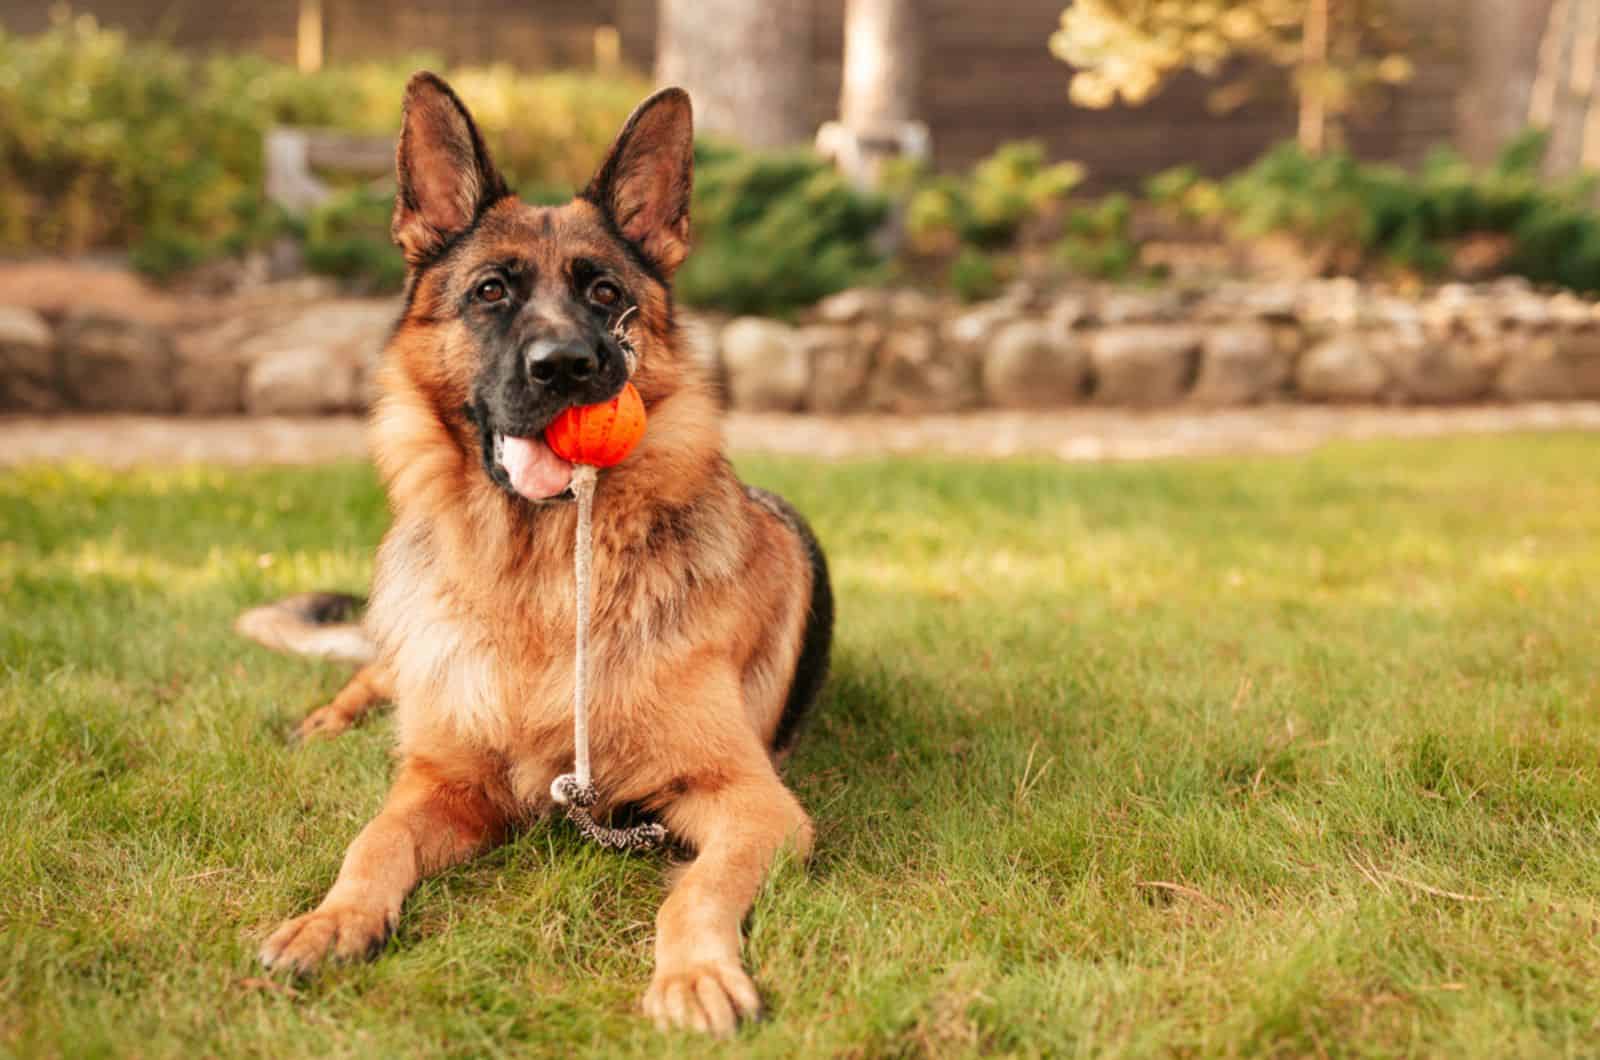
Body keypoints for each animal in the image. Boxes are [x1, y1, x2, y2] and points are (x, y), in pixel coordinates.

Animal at [249, 74, 832, 1037]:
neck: (537, 582)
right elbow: (373, 840)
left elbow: (696, 891)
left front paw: (695, 973)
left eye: (604, 293)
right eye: (491, 290)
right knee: (375, 669)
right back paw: (327, 717)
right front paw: (333, 918)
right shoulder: (439, 781)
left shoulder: (753, 802)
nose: (564, 368)